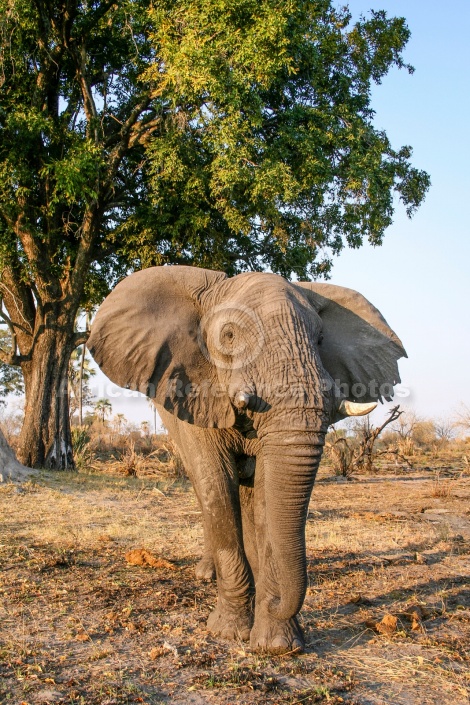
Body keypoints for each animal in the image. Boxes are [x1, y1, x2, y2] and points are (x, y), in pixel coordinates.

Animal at [87, 266, 404, 656]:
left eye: (319, 340)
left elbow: (269, 492)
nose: (279, 602)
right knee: (207, 489)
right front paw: (229, 632)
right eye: (228, 336)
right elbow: (216, 483)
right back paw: (207, 575)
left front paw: (277, 644)